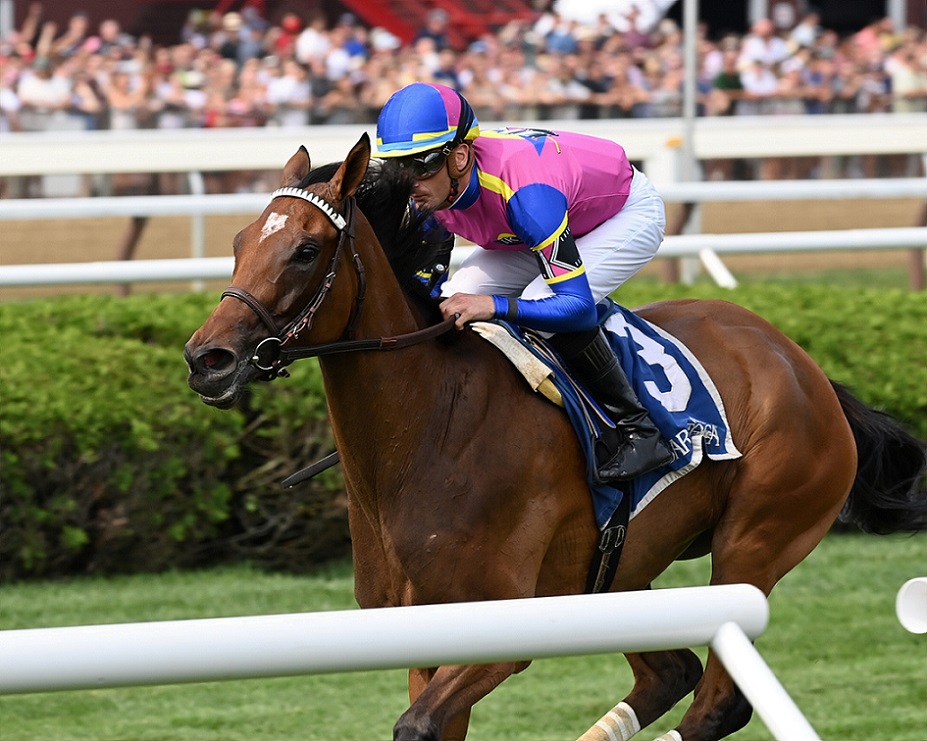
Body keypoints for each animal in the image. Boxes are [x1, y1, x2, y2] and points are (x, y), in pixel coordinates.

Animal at [184, 133, 926, 741]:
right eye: (239, 242)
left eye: (305, 250)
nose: (207, 358)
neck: (429, 429)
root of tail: (803, 366)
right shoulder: (423, 635)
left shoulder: (501, 628)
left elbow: (417, 724)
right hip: (619, 573)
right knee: (671, 672)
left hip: (754, 543)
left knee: (717, 702)